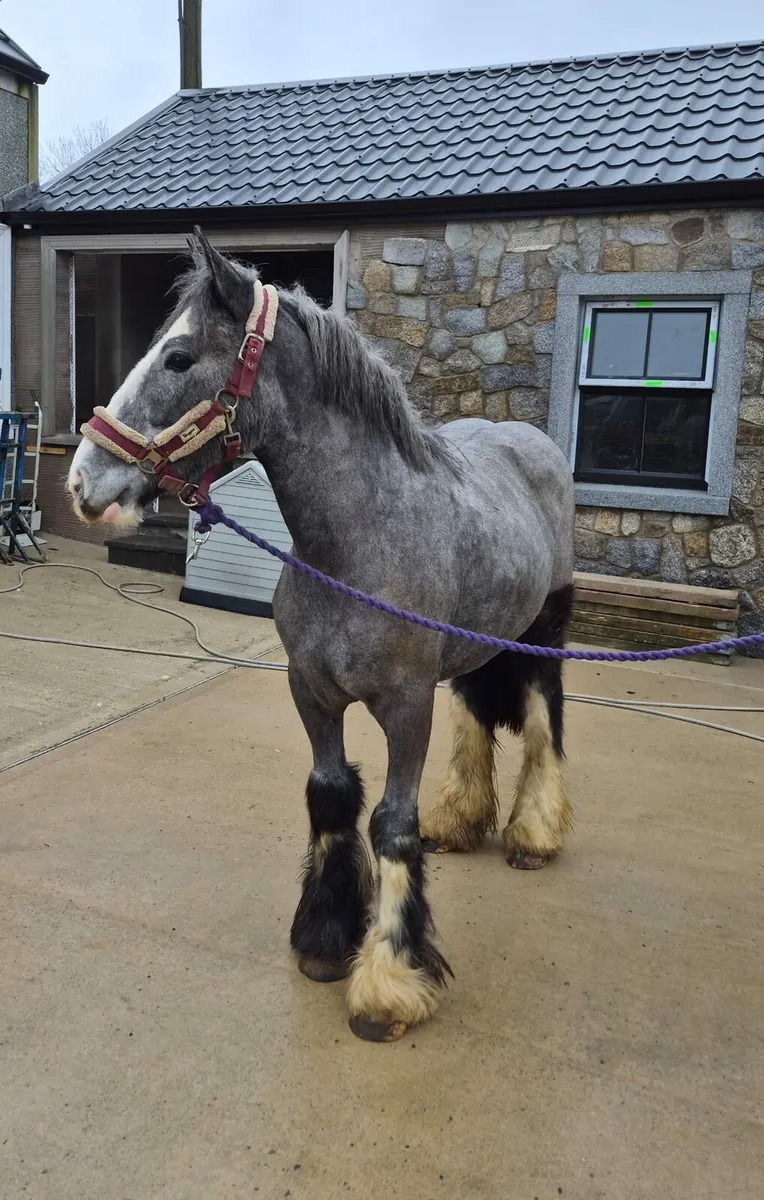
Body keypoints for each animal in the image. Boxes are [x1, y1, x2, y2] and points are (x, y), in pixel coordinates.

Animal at [68, 229, 575, 1043]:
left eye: (179, 358)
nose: (85, 482)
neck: (358, 540)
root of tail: (531, 442)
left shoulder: (406, 704)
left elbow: (392, 824)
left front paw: (389, 986)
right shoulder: (311, 691)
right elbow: (331, 797)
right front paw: (327, 941)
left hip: (544, 632)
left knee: (541, 719)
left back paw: (533, 834)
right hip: (479, 638)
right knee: (477, 711)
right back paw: (461, 821)